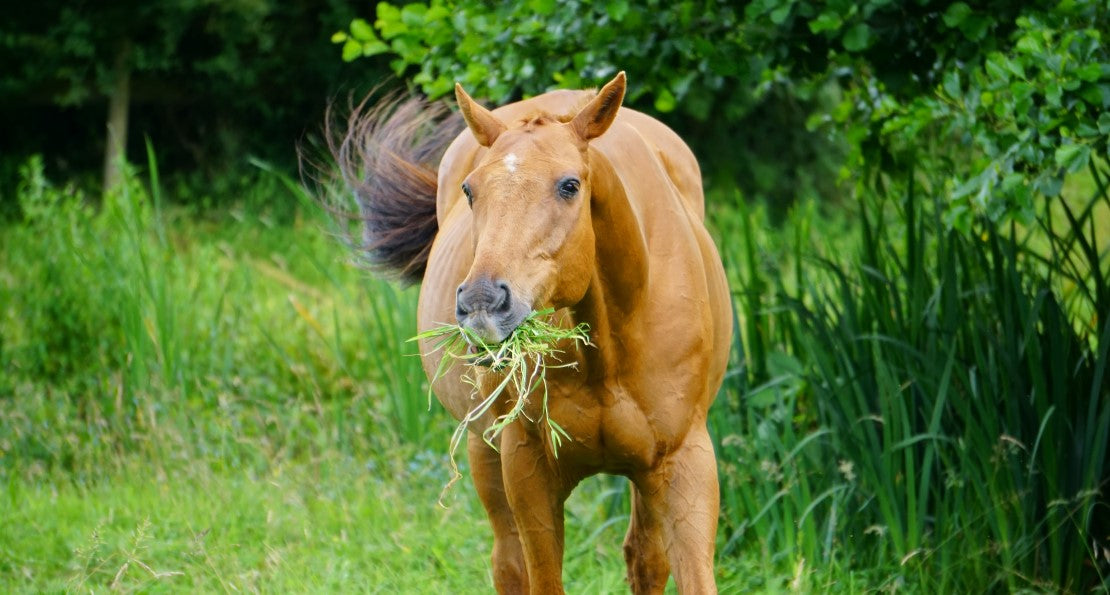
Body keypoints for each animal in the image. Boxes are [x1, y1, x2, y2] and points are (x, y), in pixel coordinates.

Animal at [333, 72, 732, 594]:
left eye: (569, 185)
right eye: (470, 190)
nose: (482, 303)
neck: (610, 348)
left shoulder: (684, 463)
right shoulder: (528, 468)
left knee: (644, 558)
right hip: (484, 451)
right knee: (508, 562)